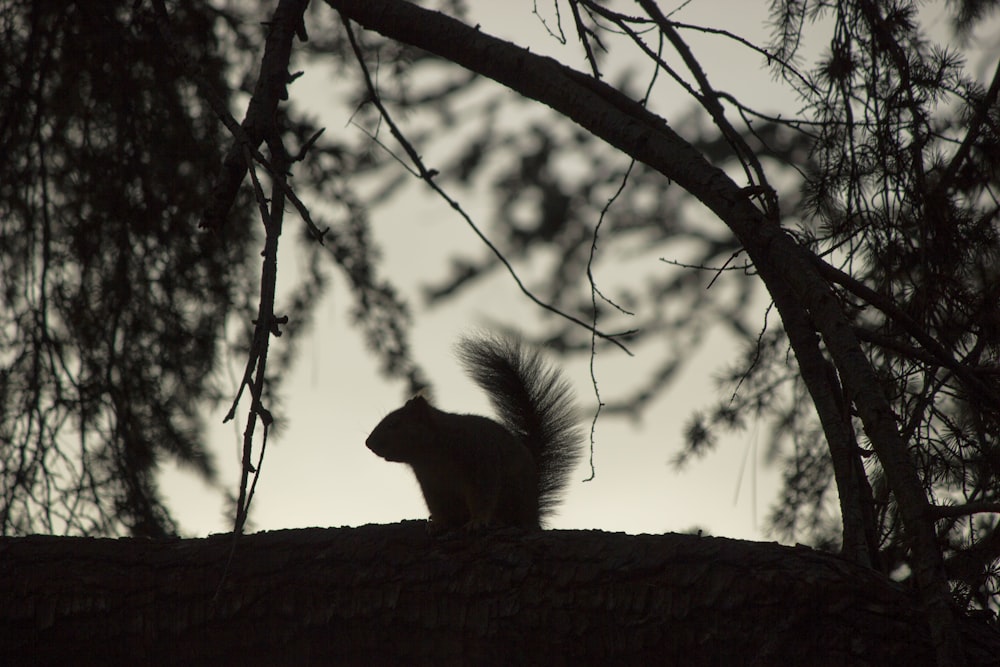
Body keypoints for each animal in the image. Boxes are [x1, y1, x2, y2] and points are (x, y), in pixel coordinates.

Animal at [366, 334, 584, 532]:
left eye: (394, 424)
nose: (368, 443)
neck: (431, 454)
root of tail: (534, 511)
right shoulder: (432, 485)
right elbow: (439, 507)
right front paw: (438, 523)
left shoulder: (479, 462)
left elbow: (482, 497)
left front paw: (478, 521)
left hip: (516, 495)